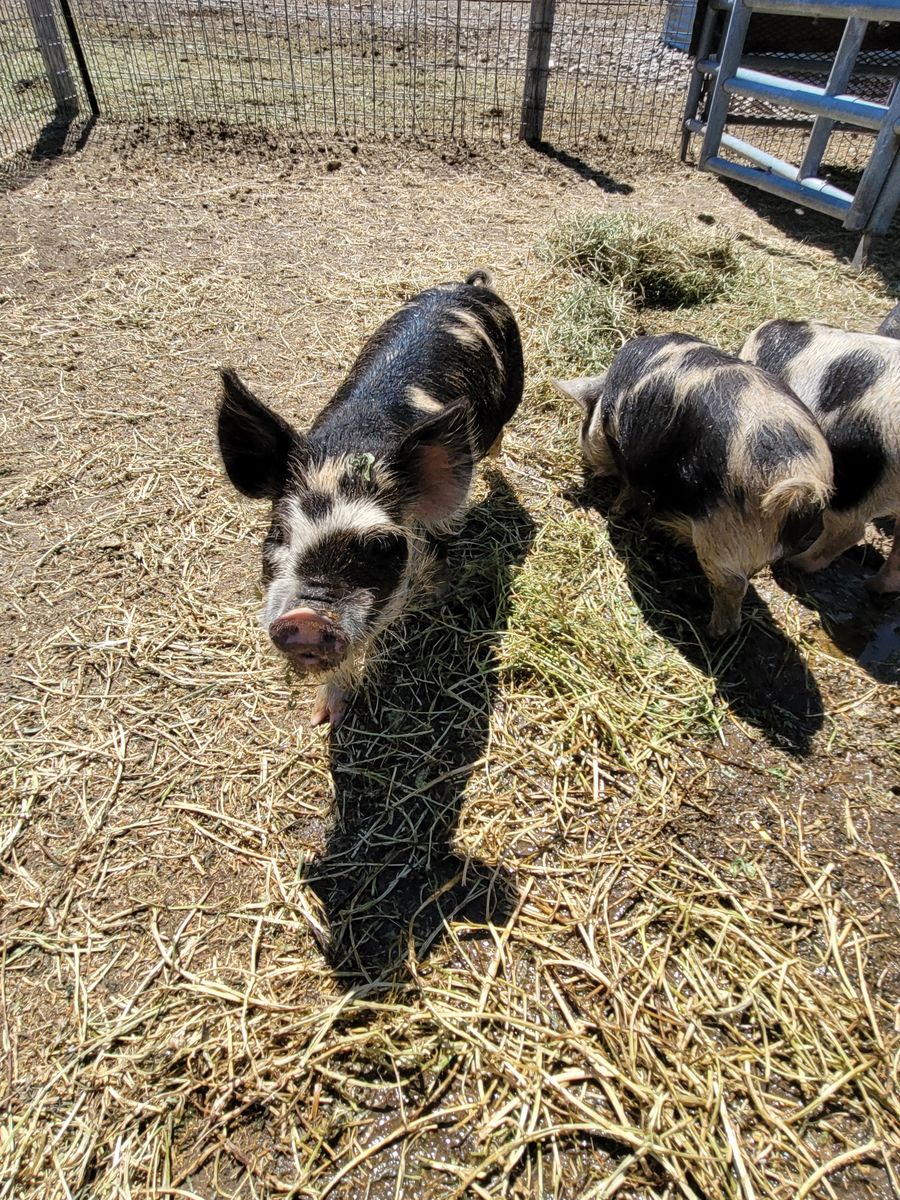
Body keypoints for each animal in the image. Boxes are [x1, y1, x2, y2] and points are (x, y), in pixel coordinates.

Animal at [216, 269, 523, 727]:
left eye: (381, 546)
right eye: (277, 533)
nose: (307, 617)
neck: (353, 446)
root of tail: (473, 287)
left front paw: (436, 595)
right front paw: (323, 718)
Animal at [555, 333, 833, 636]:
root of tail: (797, 475)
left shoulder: (633, 460)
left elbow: (630, 492)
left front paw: (616, 511)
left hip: (720, 532)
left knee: (733, 585)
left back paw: (707, 630)